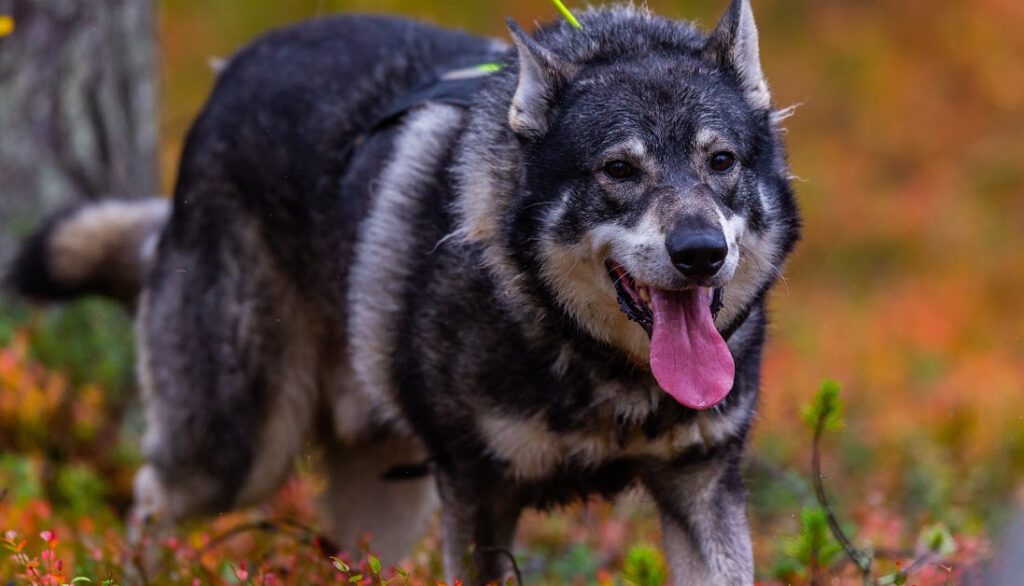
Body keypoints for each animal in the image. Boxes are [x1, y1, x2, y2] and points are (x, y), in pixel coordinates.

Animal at [6, 2, 798, 581]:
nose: (701, 253)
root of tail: (230, 71)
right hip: (237, 452)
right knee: (149, 499)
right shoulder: (477, 496)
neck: (598, 368)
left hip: (384, 502)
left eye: (721, 161)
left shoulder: (702, 489)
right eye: (620, 170)